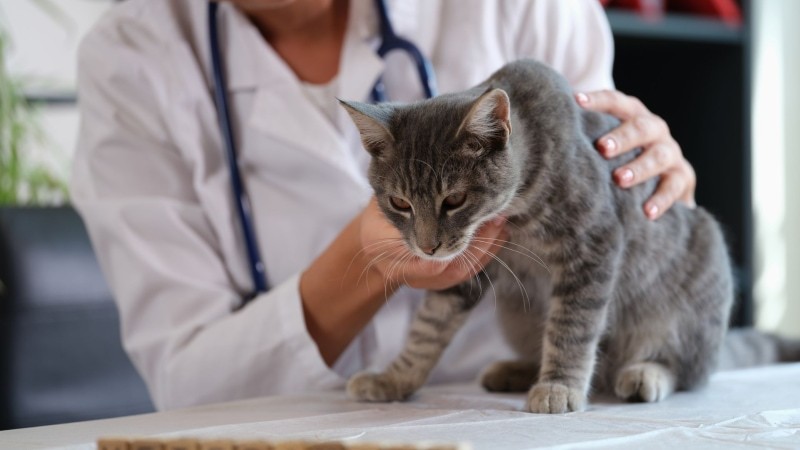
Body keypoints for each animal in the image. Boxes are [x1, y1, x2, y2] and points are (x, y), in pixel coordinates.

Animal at [334, 59, 736, 414]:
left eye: (454, 200)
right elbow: (428, 328)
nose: (427, 247)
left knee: (689, 368)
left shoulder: (593, 244)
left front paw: (559, 386)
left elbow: (571, 326)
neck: (518, 211)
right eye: (399, 203)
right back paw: (515, 370)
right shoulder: (468, 268)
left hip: (692, 294)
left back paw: (645, 373)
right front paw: (394, 379)